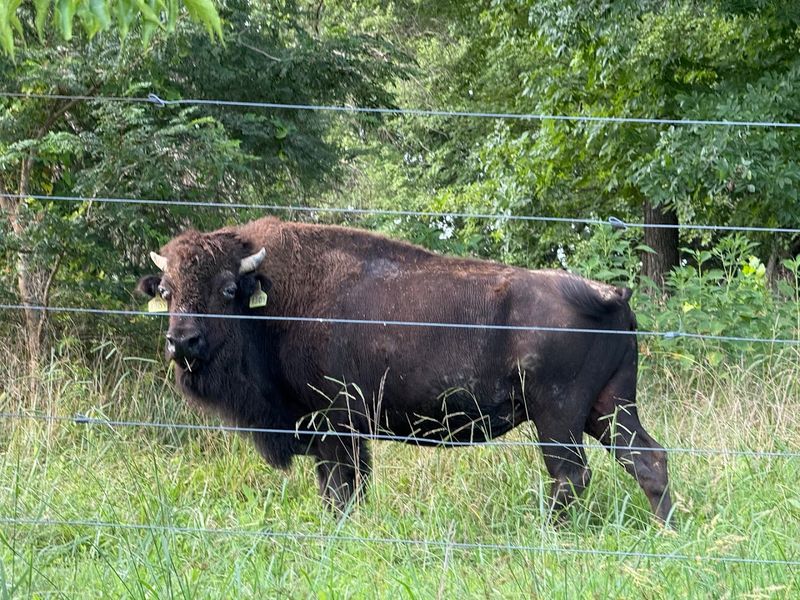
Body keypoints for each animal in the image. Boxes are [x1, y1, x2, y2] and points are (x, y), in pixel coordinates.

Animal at [137, 217, 673, 523]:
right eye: (166, 290)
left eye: (228, 289)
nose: (181, 341)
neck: (272, 304)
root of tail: (609, 294)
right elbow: (341, 487)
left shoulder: (336, 425)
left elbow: (341, 488)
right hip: (608, 407)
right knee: (647, 459)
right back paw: (666, 529)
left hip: (558, 415)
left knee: (571, 475)